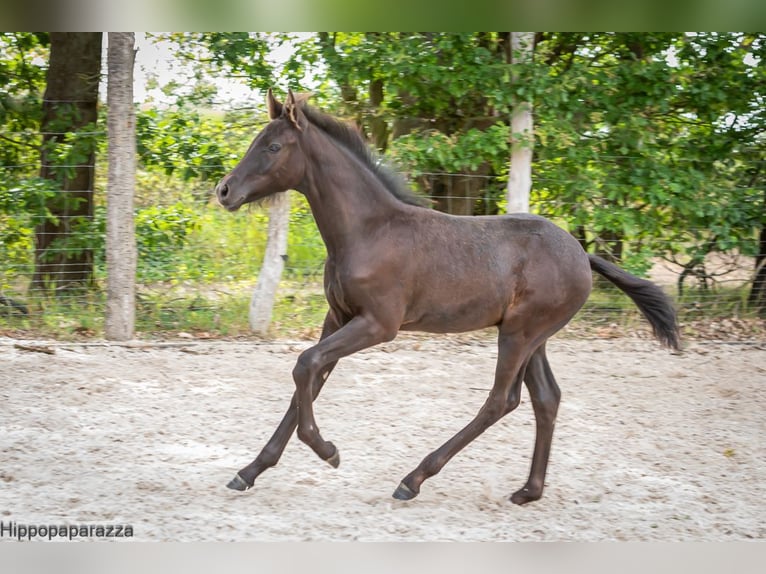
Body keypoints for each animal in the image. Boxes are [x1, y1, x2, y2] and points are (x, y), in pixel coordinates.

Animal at [214, 88, 680, 506]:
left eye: (273, 146)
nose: (224, 190)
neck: (369, 231)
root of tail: (582, 254)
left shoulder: (378, 325)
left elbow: (305, 365)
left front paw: (328, 451)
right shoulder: (339, 317)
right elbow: (308, 379)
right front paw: (249, 471)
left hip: (519, 333)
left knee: (501, 400)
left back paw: (413, 479)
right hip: (535, 336)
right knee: (545, 398)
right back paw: (528, 491)